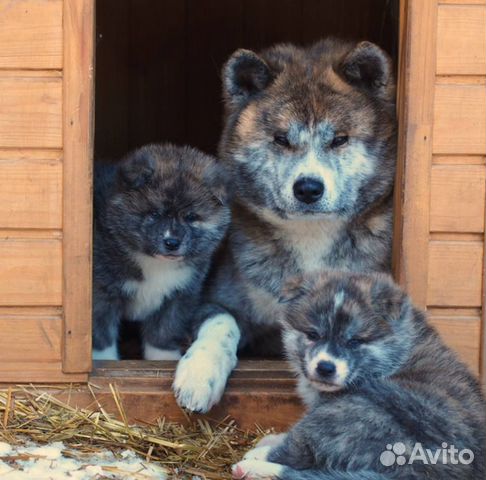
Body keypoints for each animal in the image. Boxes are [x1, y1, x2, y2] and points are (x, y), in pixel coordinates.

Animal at [92, 144, 231, 358]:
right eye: (155, 213)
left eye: (191, 217)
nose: (172, 242)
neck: (154, 263)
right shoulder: (103, 294)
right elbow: (103, 336)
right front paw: (106, 359)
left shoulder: (179, 295)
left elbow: (163, 331)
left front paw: (163, 358)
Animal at [173, 38, 396, 412]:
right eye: (281, 138)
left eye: (339, 139)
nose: (308, 188)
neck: (310, 236)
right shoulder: (213, 302)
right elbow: (222, 323)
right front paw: (199, 374)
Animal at [233, 272, 486, 478]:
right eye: (313, 335)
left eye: (354, 341)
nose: (325, 368)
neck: (395, 352)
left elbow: (296, 444)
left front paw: (263, 450)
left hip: (349, 412)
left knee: (298, 454)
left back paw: (251, 465)